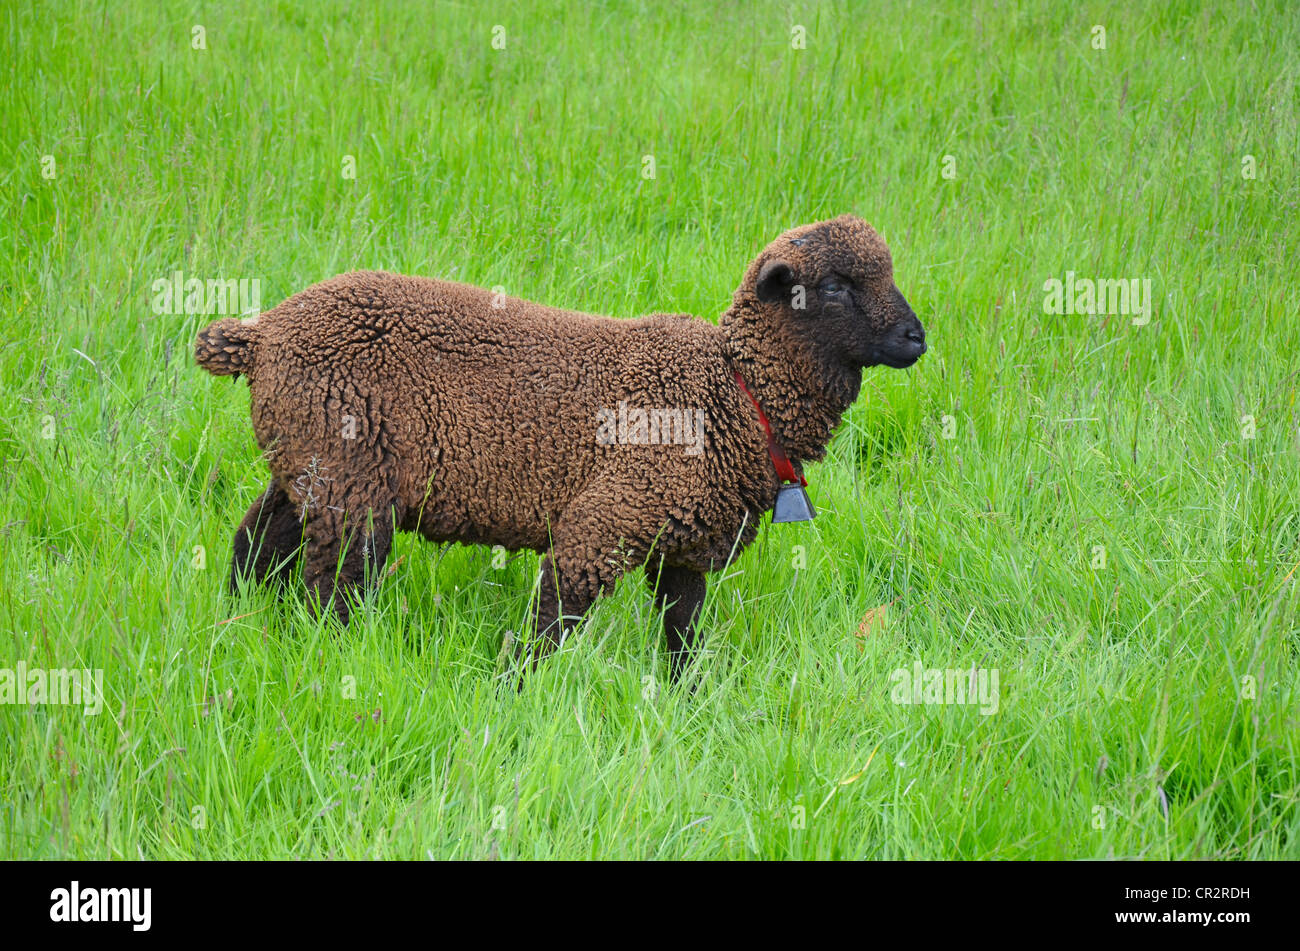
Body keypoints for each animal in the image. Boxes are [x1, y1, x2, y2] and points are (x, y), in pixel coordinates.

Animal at [194, 214, 926, 681]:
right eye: (831, 287)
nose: (918, 338)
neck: (736, 391)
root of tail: (260, 335)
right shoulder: (606, 519)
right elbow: (553, 621)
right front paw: (513, 690)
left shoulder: (684, 545)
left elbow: (683, 634)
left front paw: (690, 702)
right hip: (349, 480)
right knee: (330, 586)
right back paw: (330, 658)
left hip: (310, 463)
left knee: (256, 543)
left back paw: (235, 624)